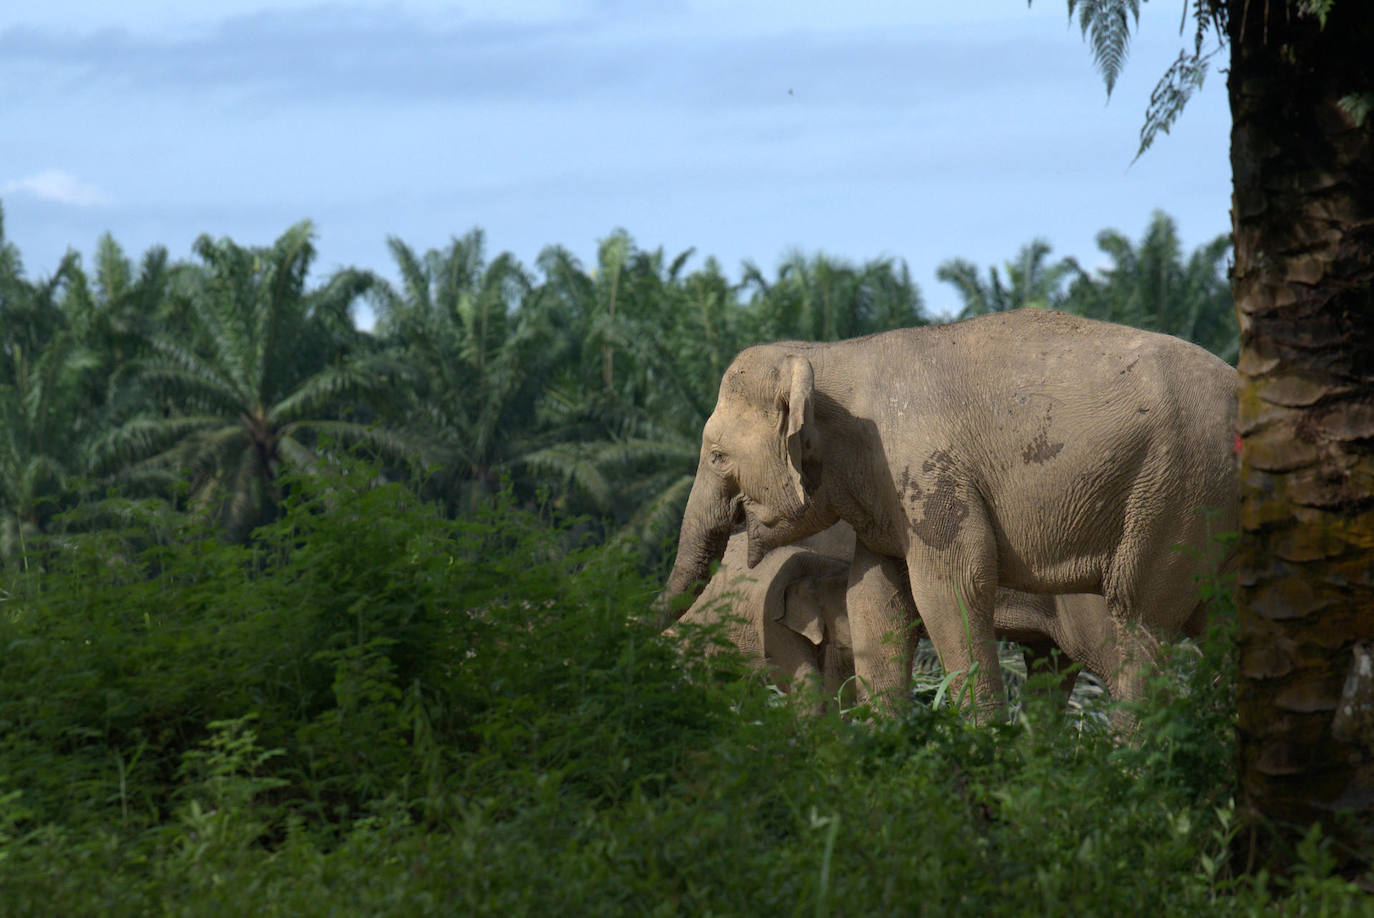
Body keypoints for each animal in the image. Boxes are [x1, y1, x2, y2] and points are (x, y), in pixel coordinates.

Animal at [660, 309, 1238, 719]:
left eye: (717, 455)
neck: (832, 355)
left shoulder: (927, 475)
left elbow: (951, 588)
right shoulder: (888, 495)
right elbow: (875, 601)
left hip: (1178, 489)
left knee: (1138, 615)